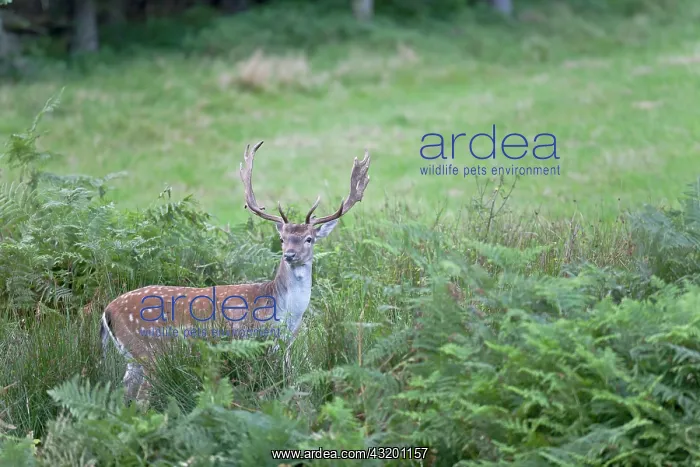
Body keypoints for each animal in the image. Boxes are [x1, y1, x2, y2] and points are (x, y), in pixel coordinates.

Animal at [100, 141, 371, 403]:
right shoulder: (251, 340)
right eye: (282, 239)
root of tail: (107, 311)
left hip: (133, 358)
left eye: (309, 239)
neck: (284, 312)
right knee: (142, 398)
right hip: (151, 351)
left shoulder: (286, 346)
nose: (289, 255)